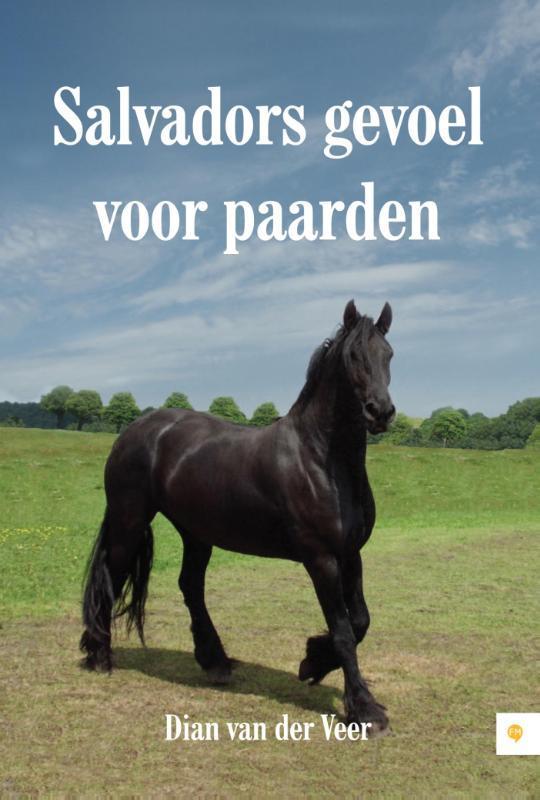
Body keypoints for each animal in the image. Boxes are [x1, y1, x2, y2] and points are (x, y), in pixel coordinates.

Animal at [80, 299, 395, 734]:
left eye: (388, 354)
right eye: (353, 356)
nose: (381, 412)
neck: (320, 459)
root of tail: (134, 430)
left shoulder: (350, 554)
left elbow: (361, 620)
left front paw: (313, 661)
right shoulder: (321, 559)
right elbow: (345, 631)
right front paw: (363, 709)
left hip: (196, 533)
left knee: (190, 586)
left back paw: (214, 660)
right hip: (130, 521)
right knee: (111, 578)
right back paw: (99, 655)